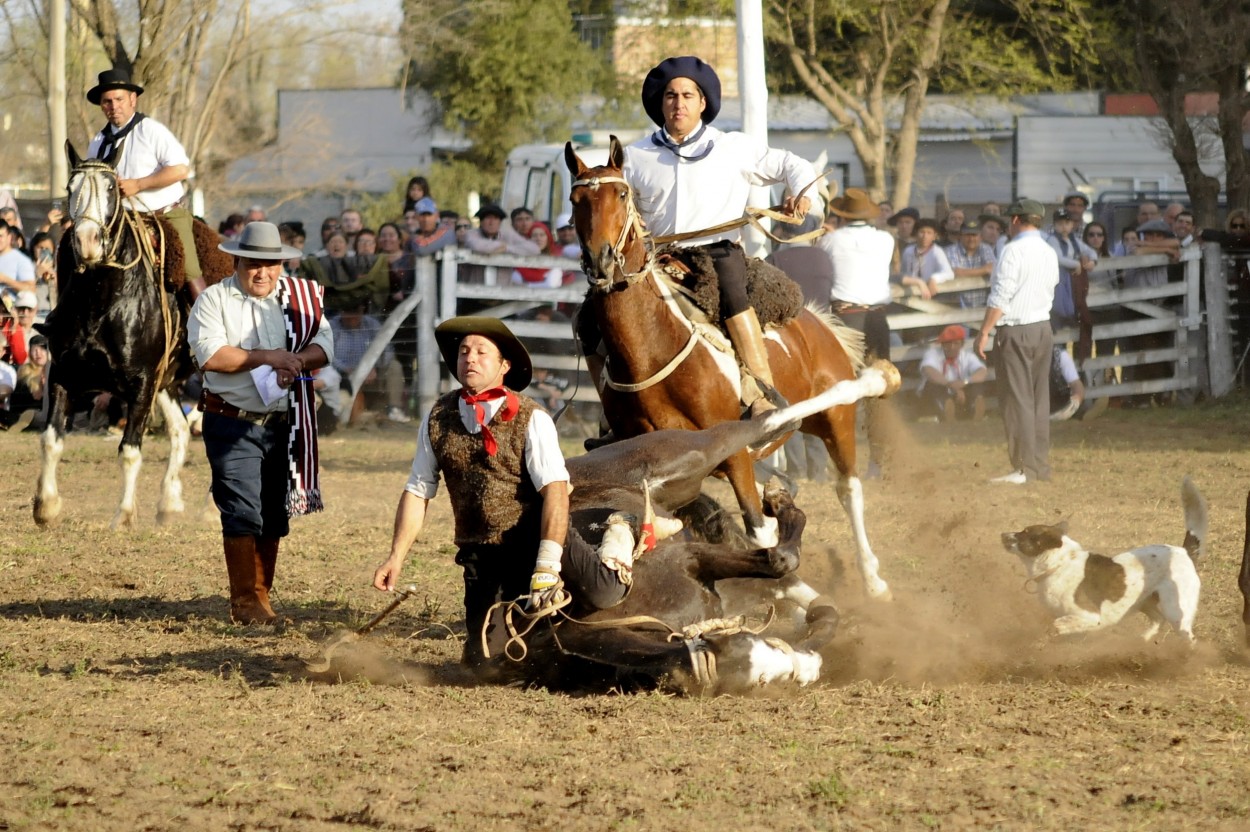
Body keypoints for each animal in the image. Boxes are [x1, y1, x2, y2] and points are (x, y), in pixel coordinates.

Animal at [34, 141, 207, 524]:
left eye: (112, 188)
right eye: (70, 188)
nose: (87, 241)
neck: (102, 300)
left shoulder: (141, 382)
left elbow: (129, 450)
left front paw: (124, 515)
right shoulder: (62, 373)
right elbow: (51, 440)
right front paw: (45, 506)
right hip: (167, 381)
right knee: (179, 431)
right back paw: (169, 503)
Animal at [567, 137, 900, 602]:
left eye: (620, 194)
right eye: (576, 199)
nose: (600, 262)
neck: (653, 349)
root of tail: (816, 319)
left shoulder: (736, 454)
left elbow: (758, 532)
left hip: (834, 419)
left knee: (847, 489)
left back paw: (872, 579)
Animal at [1000, 477, 1205, 644]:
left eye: (1024, 533)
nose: (1002, 534)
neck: (1059, 565)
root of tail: (1184, 551)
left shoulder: (1092, 616)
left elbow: (1059, 624)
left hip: (1176, 612)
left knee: (1189, 638)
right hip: (1144, 602)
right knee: (1158, 619)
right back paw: (1142, 641)